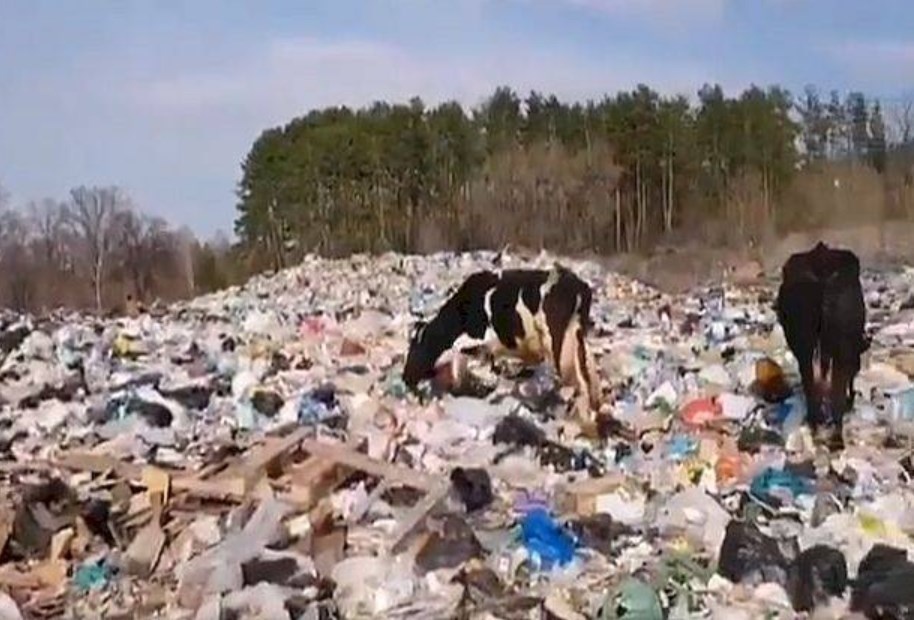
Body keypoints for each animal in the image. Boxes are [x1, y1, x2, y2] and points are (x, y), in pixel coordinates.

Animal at [403, 264, 603, 419]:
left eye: (414, 349)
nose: (405, 377)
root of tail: (579, 285)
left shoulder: (479, 339)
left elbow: (461, 361)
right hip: (577, 338)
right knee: (588, 373)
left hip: (558, 341)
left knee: (578, 380)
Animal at [775, 241, 868, 450]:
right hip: (840, 342)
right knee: (835, 386)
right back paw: (835, 434)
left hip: (804, 334)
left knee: (810, 379)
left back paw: (817, 424)